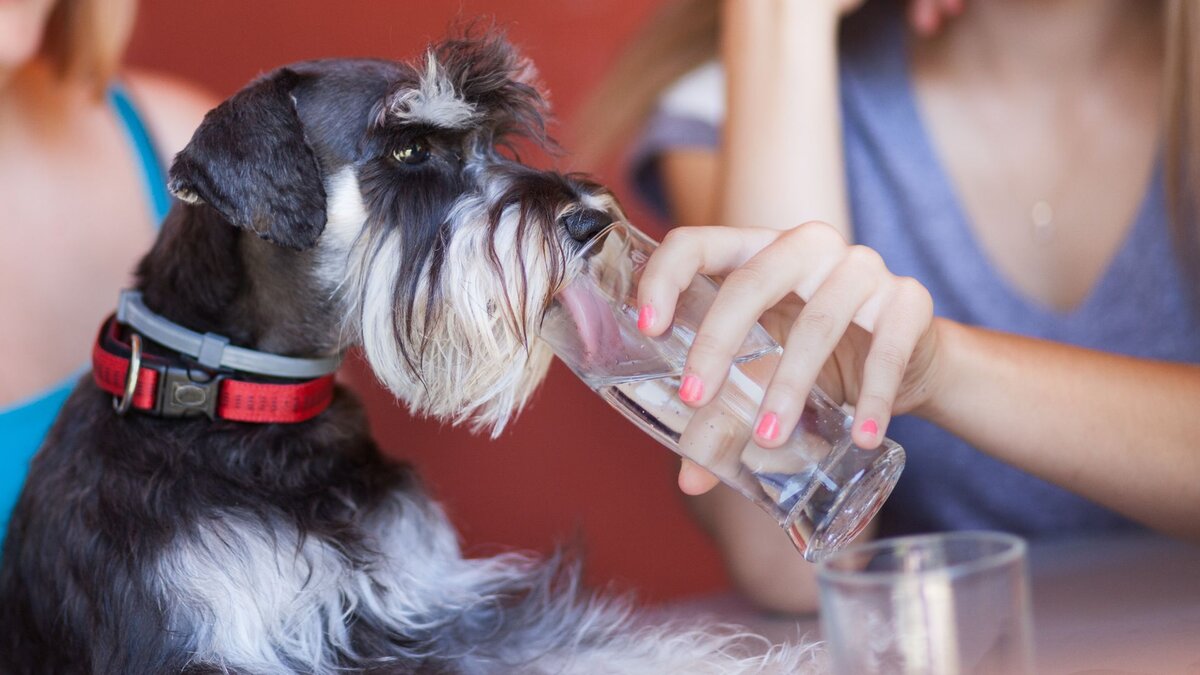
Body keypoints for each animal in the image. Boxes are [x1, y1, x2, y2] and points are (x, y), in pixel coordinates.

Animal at [0, 34, 816, 667]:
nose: (590, 222)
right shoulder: (213, 642)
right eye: (410, 146)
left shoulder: (430, 608)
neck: (254, 420)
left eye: (488, 142)